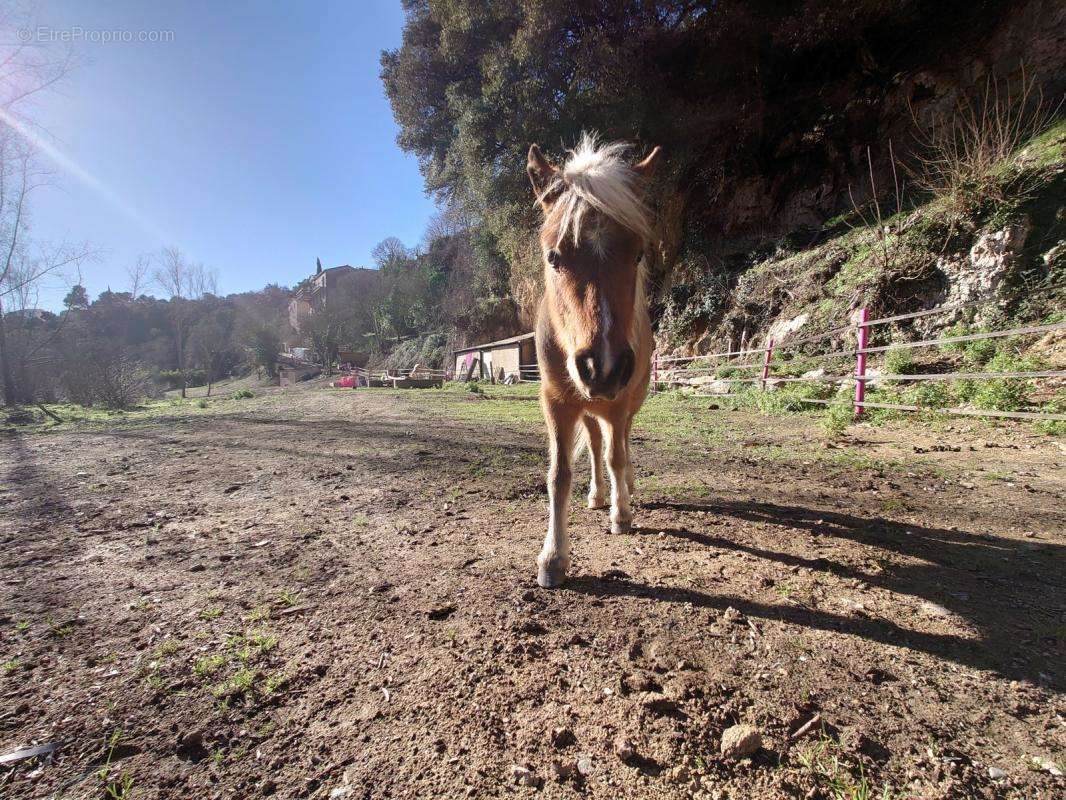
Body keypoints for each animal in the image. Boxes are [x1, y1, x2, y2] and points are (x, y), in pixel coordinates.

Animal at [524, 133, 656, 588]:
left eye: (637, 255)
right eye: (553, 256)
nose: (605, 366)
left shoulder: (617, 401)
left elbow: (618, 455)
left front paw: (622, 514)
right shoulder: (556, 402)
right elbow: (559, 474)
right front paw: (553, 558)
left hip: (623, 401)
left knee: (620, 445)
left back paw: (622, 490)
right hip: (587, 403)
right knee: (597, 444)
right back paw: (598, 494)